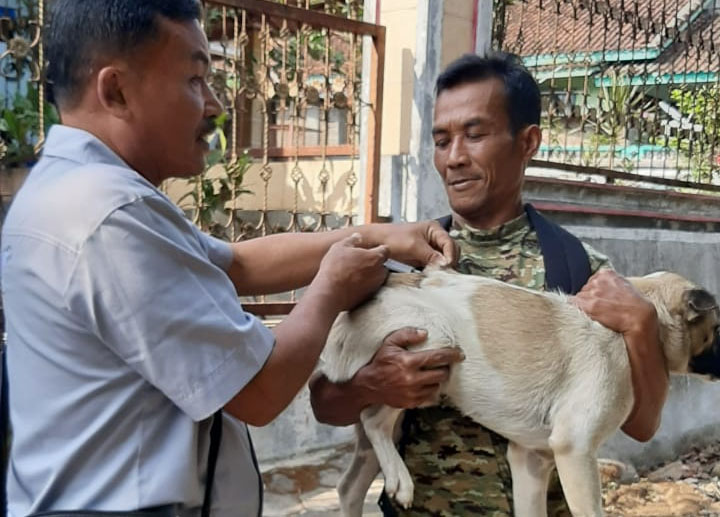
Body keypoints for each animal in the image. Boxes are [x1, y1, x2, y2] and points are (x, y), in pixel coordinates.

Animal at [322, 270, 720, 516]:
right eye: (717, 328)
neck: (628, 332)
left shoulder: (532, 459)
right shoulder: (575, 449)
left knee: (350, 484)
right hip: (431, 349)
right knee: (373, 420)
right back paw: (401, 481)